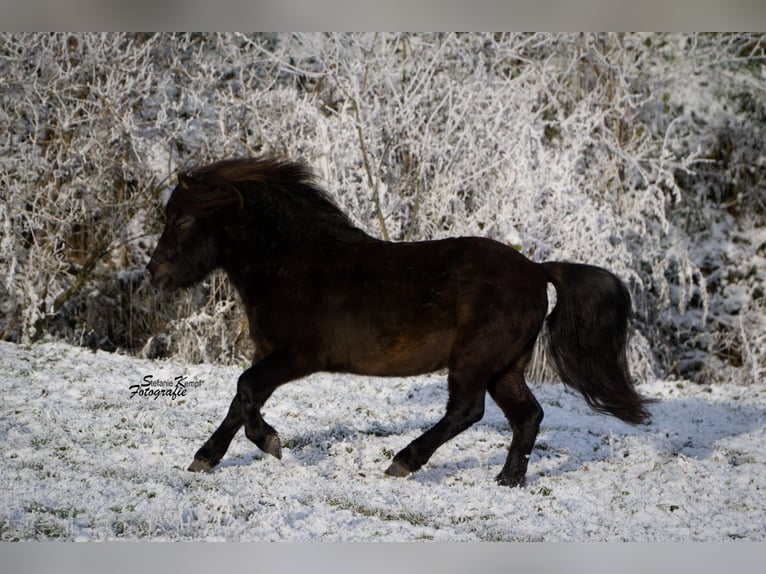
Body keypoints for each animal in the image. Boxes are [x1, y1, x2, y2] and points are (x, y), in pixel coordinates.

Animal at [147, 155, 656, 488]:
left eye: (182, 221)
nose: (156, 275)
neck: (291, 263)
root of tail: (535, 270)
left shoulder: (297, 356)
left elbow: (247, 389)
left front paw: (268, 443)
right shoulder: (270, 353)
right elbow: (242, 399)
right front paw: (206, 458)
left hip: (475, 361)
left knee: (467, 411)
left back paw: (403, 463)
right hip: (504, 367)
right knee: (527, 416)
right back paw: (507, 481)